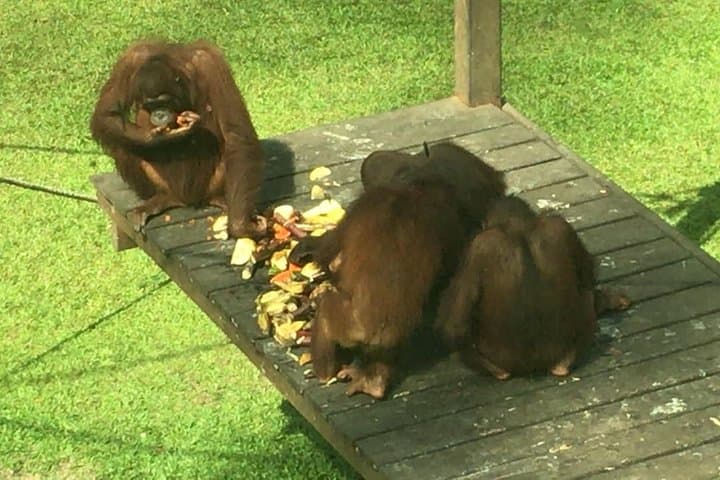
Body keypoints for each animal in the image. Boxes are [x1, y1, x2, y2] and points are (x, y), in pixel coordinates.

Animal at [90, 39, 264, 237]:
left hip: (208, 186)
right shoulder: (130, 60)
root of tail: (185, 201)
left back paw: (220, 199)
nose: (159, 115)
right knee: (123, 145)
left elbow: (235, 134)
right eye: (151, 105)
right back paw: (159, 200)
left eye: (164, 101)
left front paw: (240, 226)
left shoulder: (210, 63)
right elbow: (107, 115)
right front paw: (158, 139)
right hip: (164, 185)